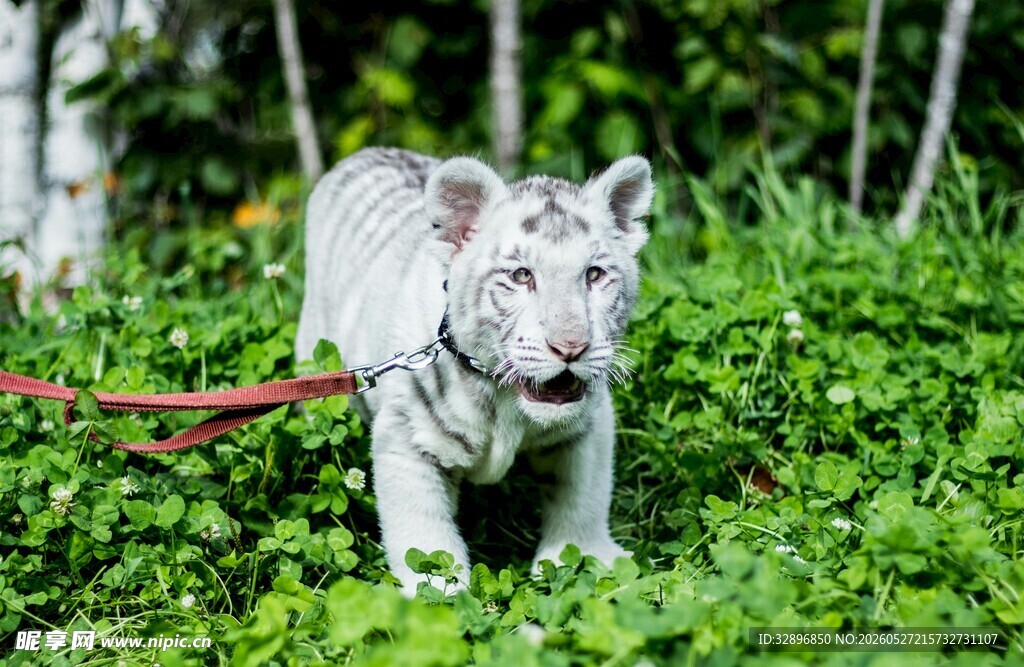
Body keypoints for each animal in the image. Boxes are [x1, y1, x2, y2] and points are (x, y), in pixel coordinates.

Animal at [296, 147, 653, 594]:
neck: (504, 398)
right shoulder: (407, 439)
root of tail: (366, 152)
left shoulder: (589, 427)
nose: (571, 347)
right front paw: (440, 597)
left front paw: (584, 559)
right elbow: (423, 534)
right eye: (521, 275)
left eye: (594, 274)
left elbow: (582, 496)